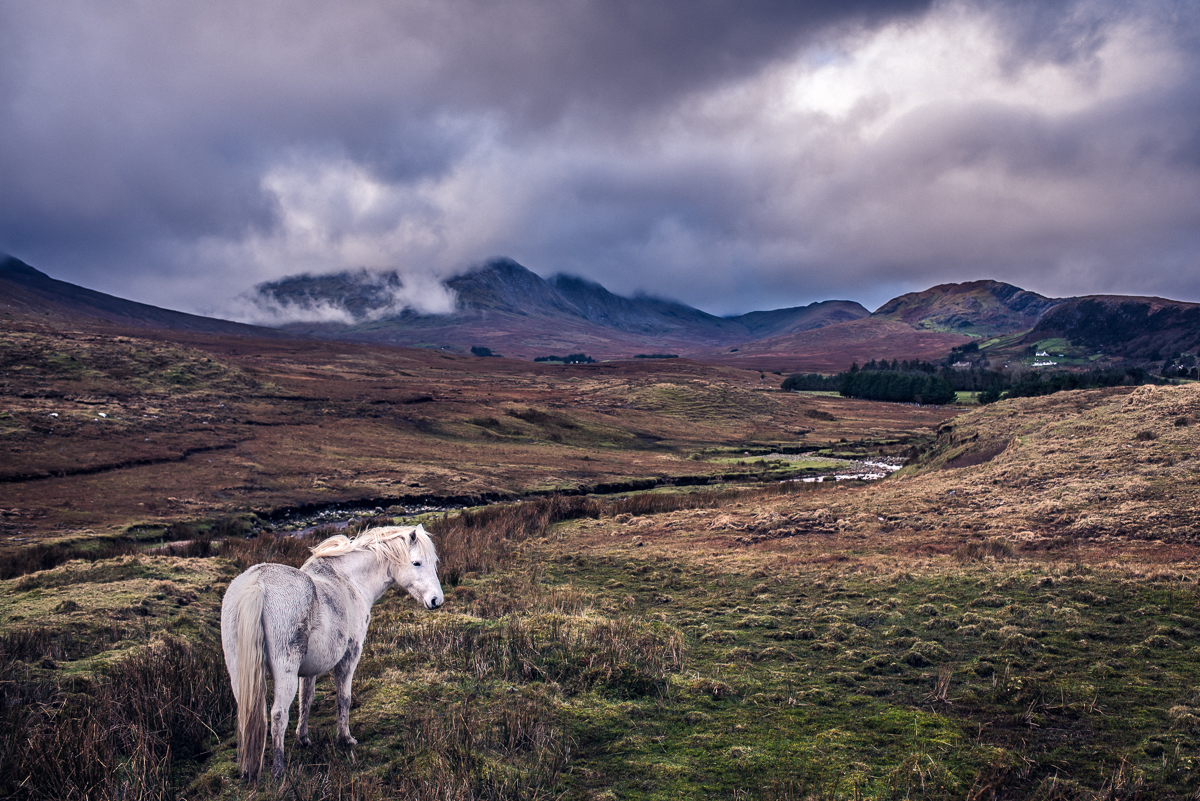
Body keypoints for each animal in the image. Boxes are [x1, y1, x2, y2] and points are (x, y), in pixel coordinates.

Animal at [219, 525, 441, 781]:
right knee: (277, 715)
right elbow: (343, 697)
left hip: (239, 673)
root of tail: (257, 584)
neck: (349, 581)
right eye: (417, 563)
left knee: (247, 714)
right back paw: (279, 770)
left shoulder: (308, 670)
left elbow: (306, 700)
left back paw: (248, 769)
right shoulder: (349, 655)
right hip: (284, 673)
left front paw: (304, 739)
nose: (437, 600)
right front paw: (345, 738)